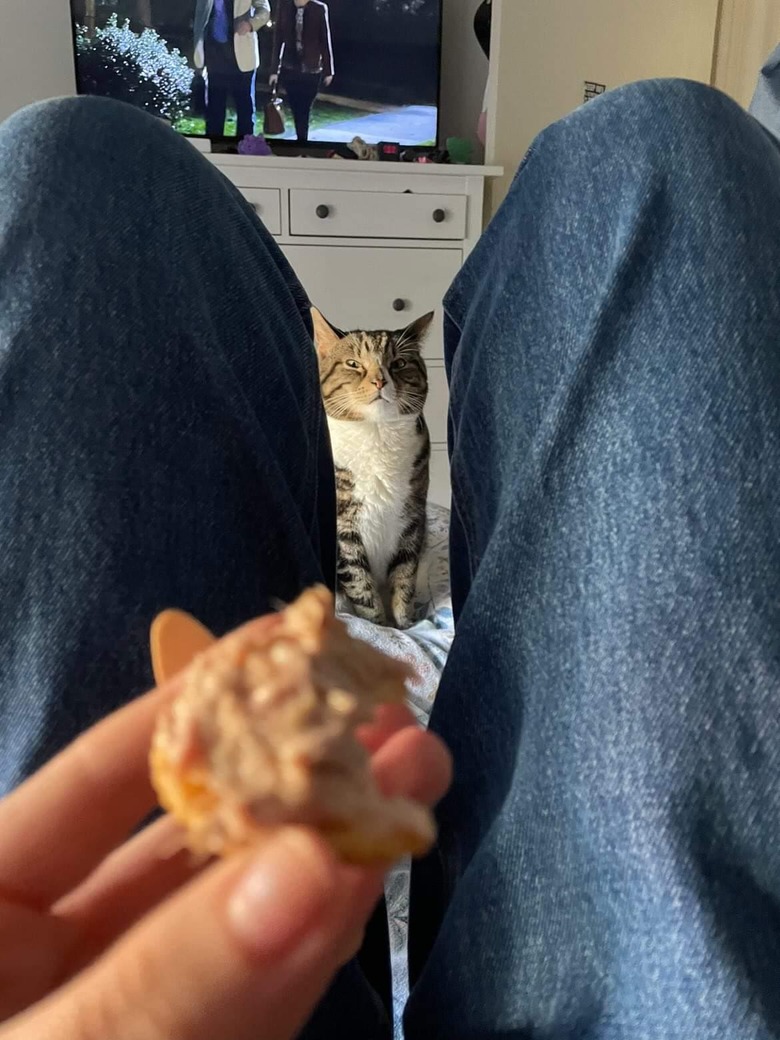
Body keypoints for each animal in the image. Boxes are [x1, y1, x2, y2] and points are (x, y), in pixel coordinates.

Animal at [312, 303, 434, 628]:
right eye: (353, 363)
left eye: (399, 362)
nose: (380, 380)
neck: (377, 434)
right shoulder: (343, 528)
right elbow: (360, 583)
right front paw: (381, 626)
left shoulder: (412, 516)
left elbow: (404, 576)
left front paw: (405, 625)